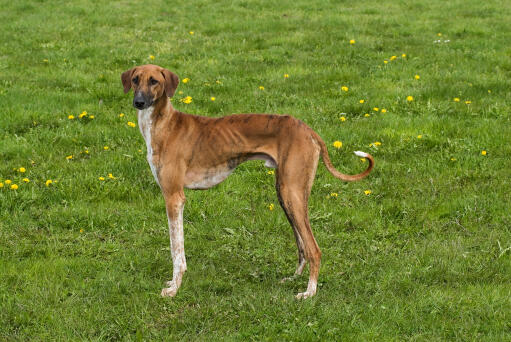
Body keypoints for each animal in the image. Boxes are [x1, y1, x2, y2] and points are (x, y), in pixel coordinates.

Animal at [121, 64, 374, 300]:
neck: (165, 125)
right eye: (135, 80)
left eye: (154, 81)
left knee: (314, 249)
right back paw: (294, 278)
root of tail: (309, 131)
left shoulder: (174, 197)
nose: (138, 102)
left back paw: (309, 292)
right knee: (302, 245)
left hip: (291, 192)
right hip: (286, 193)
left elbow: (177, 251)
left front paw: (174, 288)